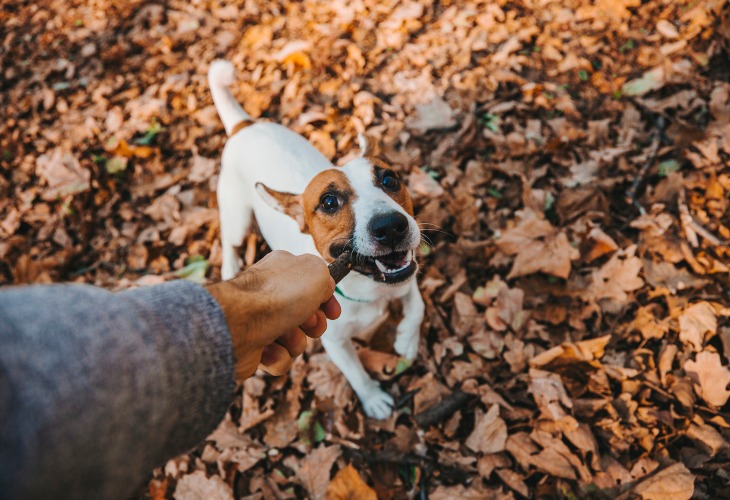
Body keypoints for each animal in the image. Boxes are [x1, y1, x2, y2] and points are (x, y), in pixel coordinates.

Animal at [208, 59, 424, 418]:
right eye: (329, 202)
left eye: (389, 179)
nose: (391, 226)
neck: (369, 289)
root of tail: (244, 127)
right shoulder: (335, 342)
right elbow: (355, 372)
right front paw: (373, 399)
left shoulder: (407, 278)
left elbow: (416, 304)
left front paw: (407, 340)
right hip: (236, 215)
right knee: (230, 241)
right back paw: (229, 267)